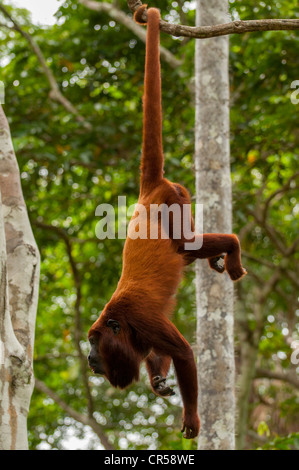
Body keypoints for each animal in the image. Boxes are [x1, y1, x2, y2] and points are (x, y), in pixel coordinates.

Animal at [88, 4, 247, 440]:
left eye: (93, 343)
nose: (88, 358)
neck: (118, 321)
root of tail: (148, 192)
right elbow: (156, 355)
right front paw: (157, 380)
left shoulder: (143, 320)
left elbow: (183, 351)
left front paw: (191, 418)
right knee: (189, 254)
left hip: (175, 201)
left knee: (188, 245)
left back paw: (231, 248)